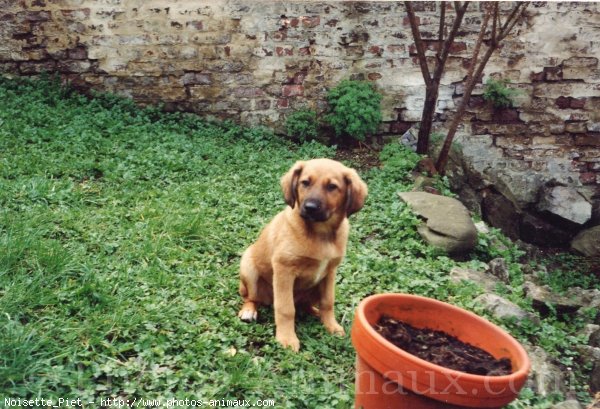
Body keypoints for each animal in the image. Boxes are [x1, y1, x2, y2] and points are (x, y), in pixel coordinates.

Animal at [237, 158, 368, 350]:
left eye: (332, 187)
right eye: (305, 183)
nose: (310, 207)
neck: (321, 233)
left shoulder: (330, 272)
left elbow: (328, 302)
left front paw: (332, 325)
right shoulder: (284, 270)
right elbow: (286, 309)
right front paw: (287, 338)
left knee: (304, 305)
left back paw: (315, 312)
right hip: (249, 268)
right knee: (251, 297)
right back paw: (248, 310)